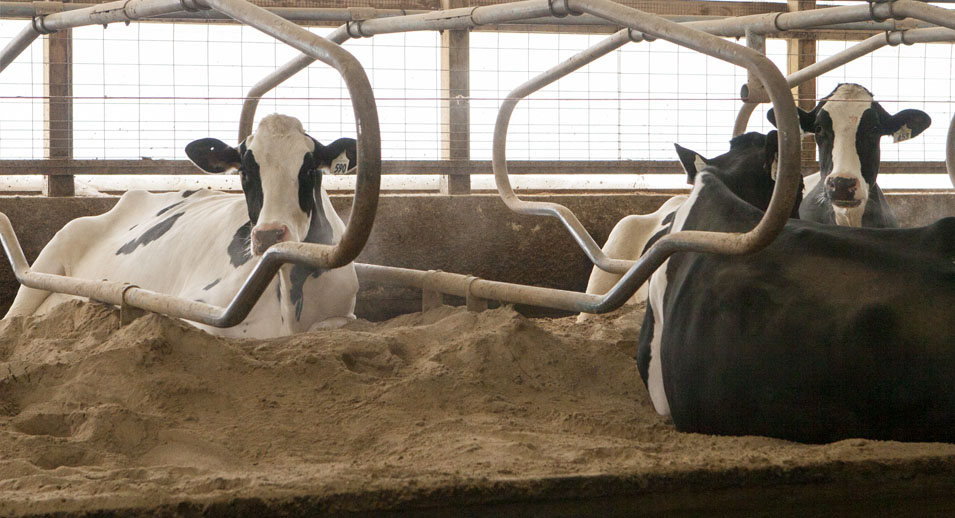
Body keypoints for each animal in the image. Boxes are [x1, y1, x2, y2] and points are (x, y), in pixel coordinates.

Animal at [5, 114, 360, 339]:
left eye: (309, 170)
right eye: (245, 172)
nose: (270, 234)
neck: (289, 298)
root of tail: (134, 195)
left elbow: (339, 323)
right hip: (53, 252)